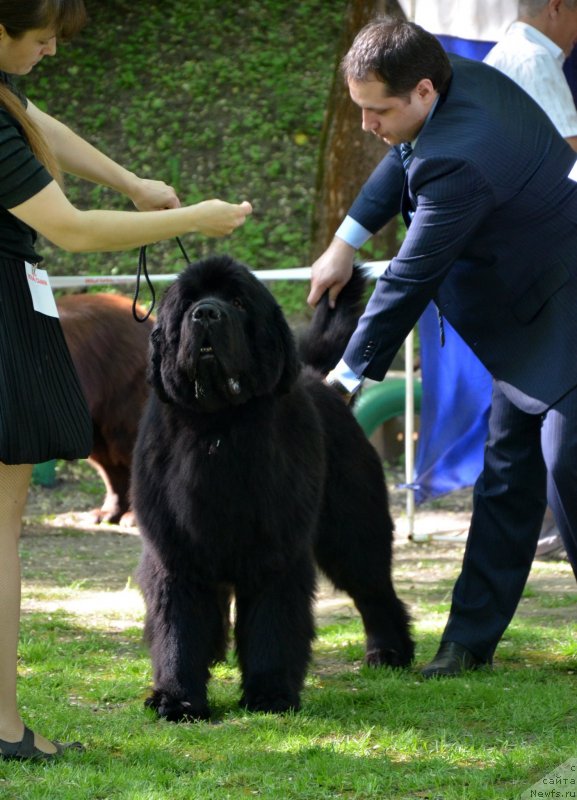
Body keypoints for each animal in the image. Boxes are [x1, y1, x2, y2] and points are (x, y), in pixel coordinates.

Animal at [133, 256, 412, 724]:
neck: (218, 428)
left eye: (238, 302)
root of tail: (323, 382)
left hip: (352, 531)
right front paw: (178, 698)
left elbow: (272, 624)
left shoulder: (274, 551)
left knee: (374, 590)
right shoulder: (175, 553)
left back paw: (391, 652)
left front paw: (270, 694)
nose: (206, 314)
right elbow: (178, 627)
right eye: (188, 303)